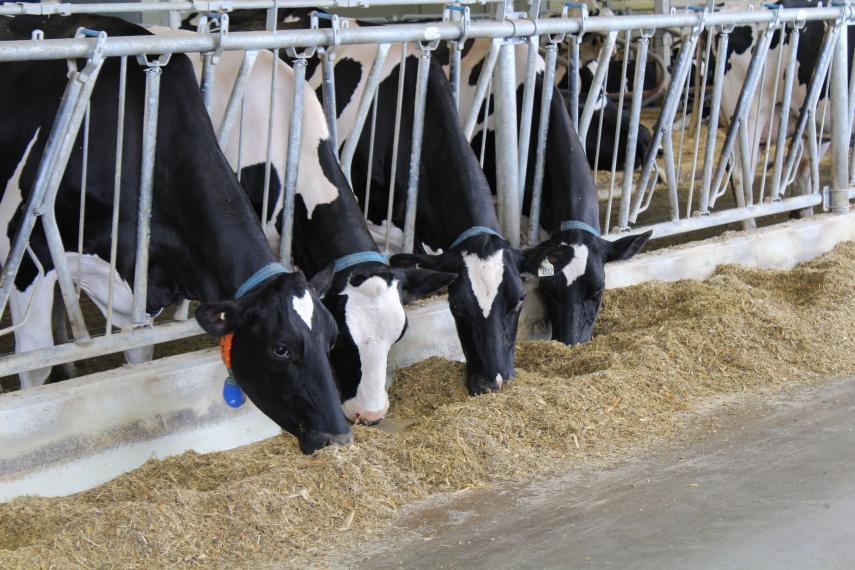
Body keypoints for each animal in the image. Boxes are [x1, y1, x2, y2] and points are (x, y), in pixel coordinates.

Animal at [0, 14, 352, 452]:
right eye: (281, 348)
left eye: (333, 338)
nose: (339, 434)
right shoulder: (32, 256)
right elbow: (34, 365)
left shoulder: (141, 282)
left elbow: (140, 358)